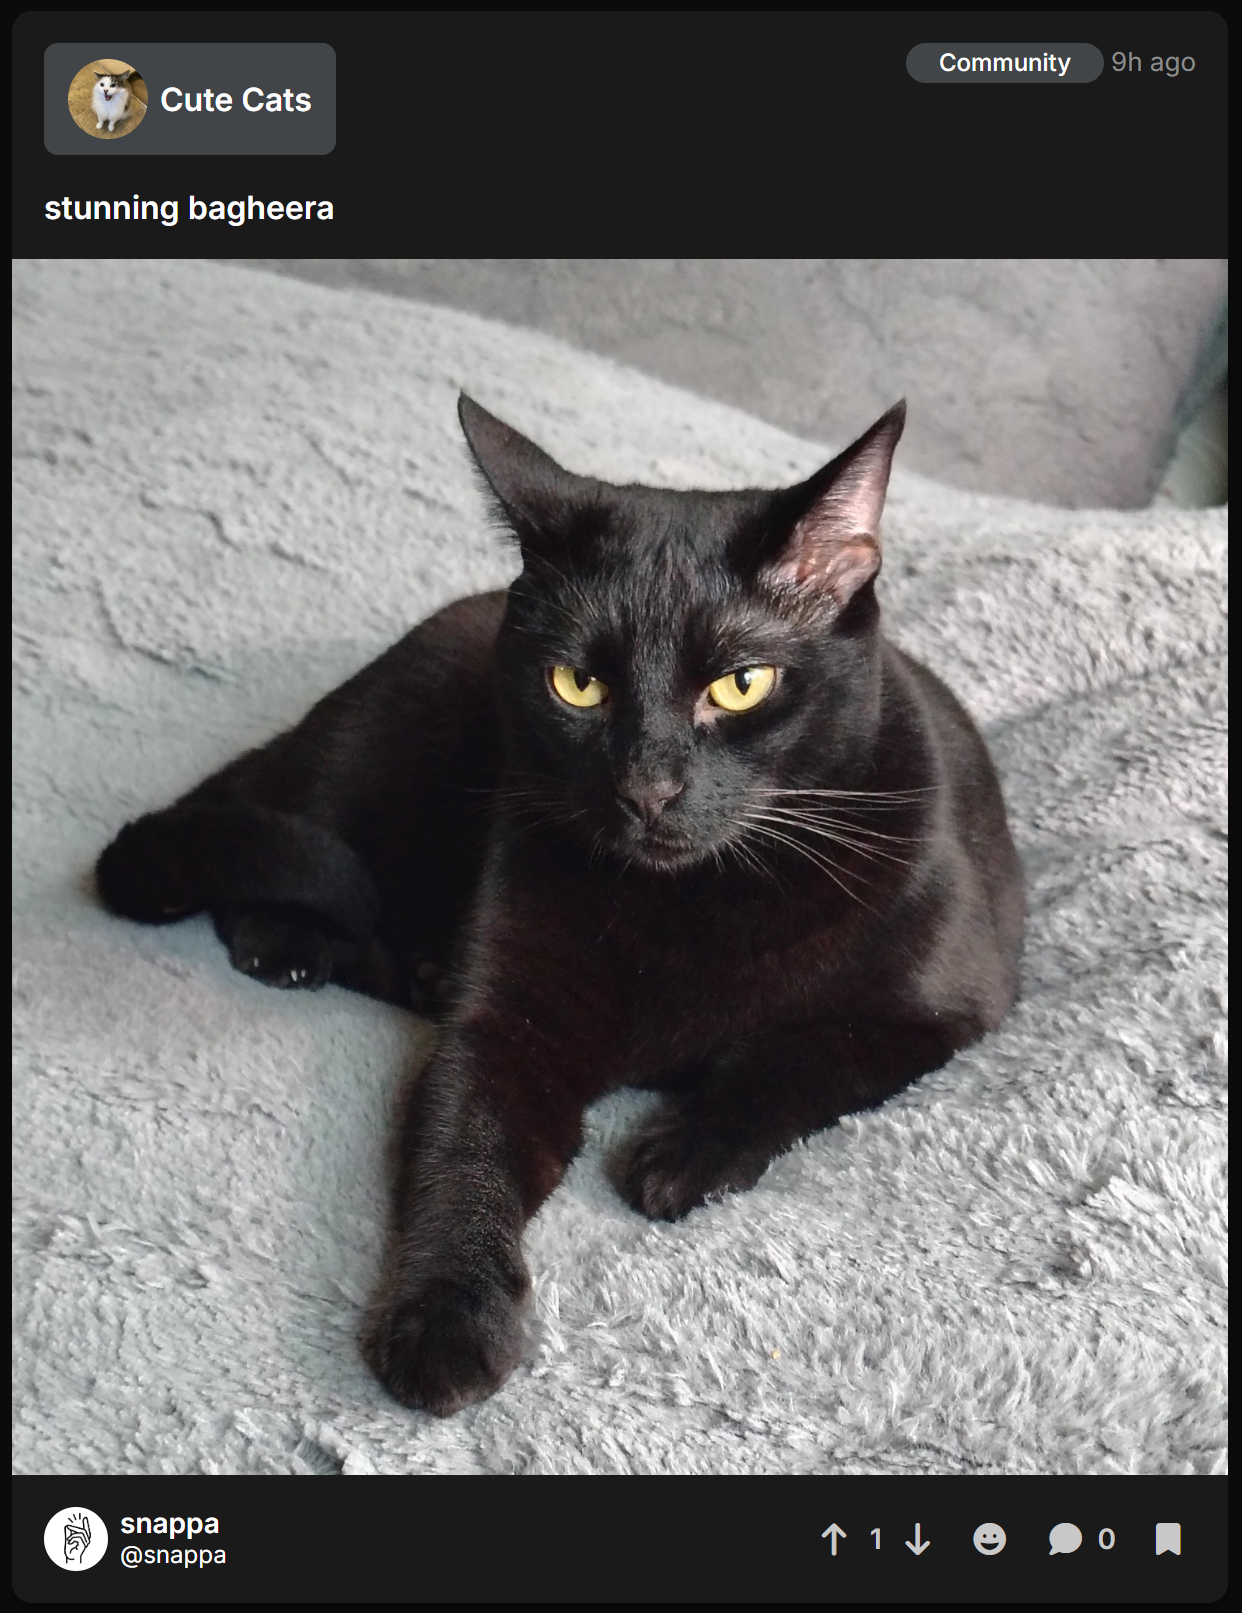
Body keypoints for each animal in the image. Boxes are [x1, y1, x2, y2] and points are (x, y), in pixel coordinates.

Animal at [95, 395, 1025, 1416]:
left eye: (741, 684)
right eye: (579, 684)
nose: (648, 786)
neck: (692, 902)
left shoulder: (945, 1009)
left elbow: (806, 1058)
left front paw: (684, 1153)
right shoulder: (509, 1023)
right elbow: (462, 1148)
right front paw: (445, 1320)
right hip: (375, 753)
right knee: (278, 830)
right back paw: (298, 943)